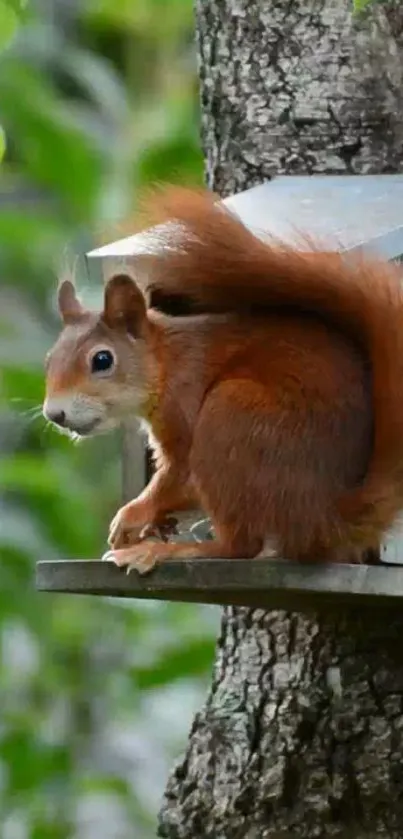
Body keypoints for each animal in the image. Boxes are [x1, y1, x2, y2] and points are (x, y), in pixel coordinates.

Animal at [41, 186, 403, 576]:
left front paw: (132, 516)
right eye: (49, 359)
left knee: (240, 546)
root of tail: (326, 520)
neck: (167, 361)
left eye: (102, 360)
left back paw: (171, 551)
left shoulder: (184, 405)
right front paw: (152, 524)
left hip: (229, 419)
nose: (54, 414)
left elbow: (178, 476)